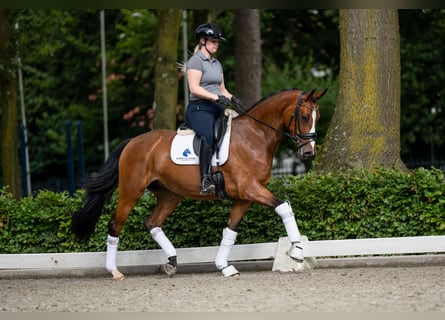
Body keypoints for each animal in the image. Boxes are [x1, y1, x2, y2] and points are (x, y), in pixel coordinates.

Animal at [70, 87, 326, 280]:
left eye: (318, 118)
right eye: (304, 117)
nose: (309, 153)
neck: (256, 136)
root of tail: (132, 141)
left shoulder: (244, 197)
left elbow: (230, 230)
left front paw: (224, 266)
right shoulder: (250, 189)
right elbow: (284, 207)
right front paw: (297, 250)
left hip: (170, 195)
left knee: (152, 222)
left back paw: (172, 262)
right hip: (130, 192)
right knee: (115, 225)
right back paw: (115, 271)